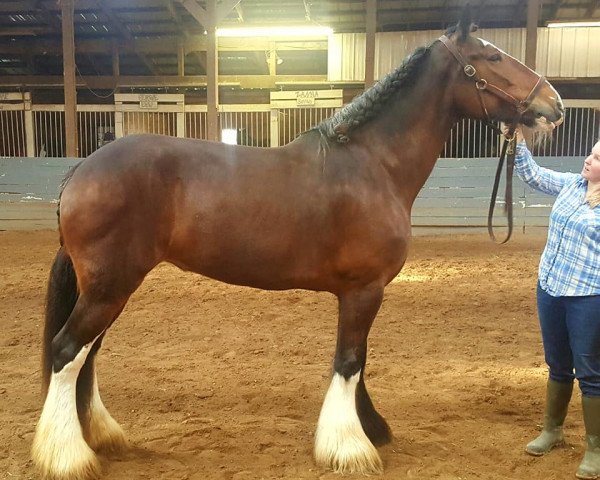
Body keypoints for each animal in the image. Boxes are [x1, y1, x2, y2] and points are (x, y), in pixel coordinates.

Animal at [31, 13, 564, 480]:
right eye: (491, 56)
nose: (554, 104)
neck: (372, 164)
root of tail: (82, 169)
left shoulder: (362, 292)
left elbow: (358, 359)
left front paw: (371, 428)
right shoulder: (365, 290)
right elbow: (348, 362)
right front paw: (349, 448)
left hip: (107, 290)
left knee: (86, 357)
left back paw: (101, 436)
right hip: (110, 287)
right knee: (67, 351)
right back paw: (67, 456)